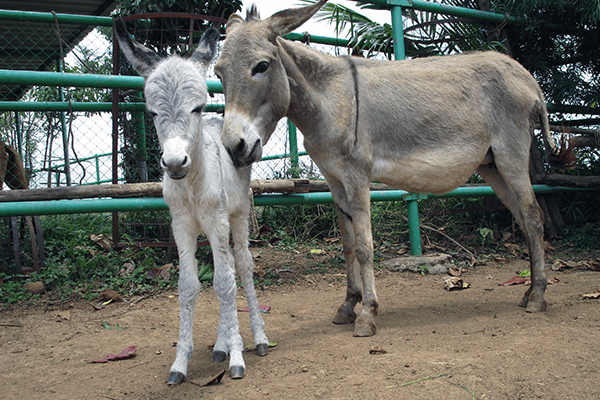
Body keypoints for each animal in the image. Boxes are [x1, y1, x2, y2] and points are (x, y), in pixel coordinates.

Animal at [113, 19, 268, 384]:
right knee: (226, 269)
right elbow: (189, 286)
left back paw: (257, 338)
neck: (192, 185)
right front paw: (180, 364)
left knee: (242, 267)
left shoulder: (218, 220)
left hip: (237, 216)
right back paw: (221, 345)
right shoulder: (181, 226)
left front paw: (237, 359)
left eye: (197, 107)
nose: (173, 163)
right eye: (152, 112)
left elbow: (225, 283)